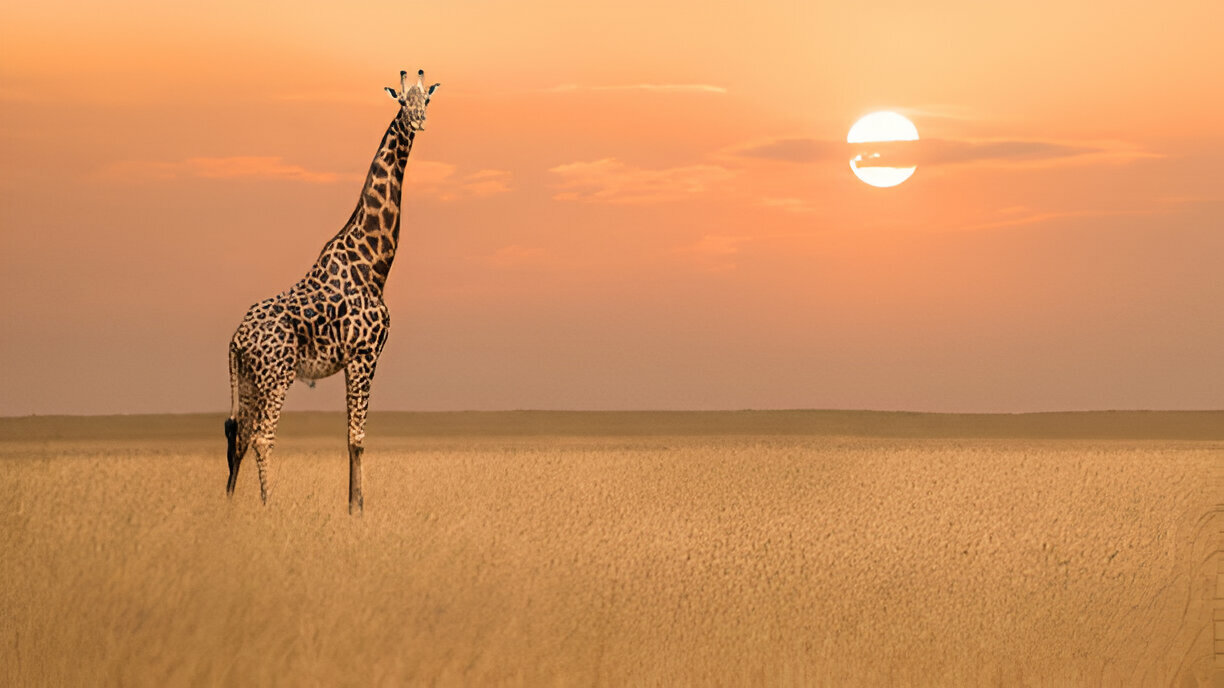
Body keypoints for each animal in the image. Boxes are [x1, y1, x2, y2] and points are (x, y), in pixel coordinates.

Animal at [224, 69, 439, 514]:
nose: (418, 121)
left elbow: (348, 438)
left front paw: (353, 504)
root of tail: (236, 338)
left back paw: (232, 505)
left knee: (239, 436)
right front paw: (358, 508)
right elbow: (358, 439)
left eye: (426, 99)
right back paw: (268, 506)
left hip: (250, 378)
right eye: (401, 102)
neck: (374, 263)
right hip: (277, 375)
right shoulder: (364, 356)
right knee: (262, 437)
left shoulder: (352, 361)